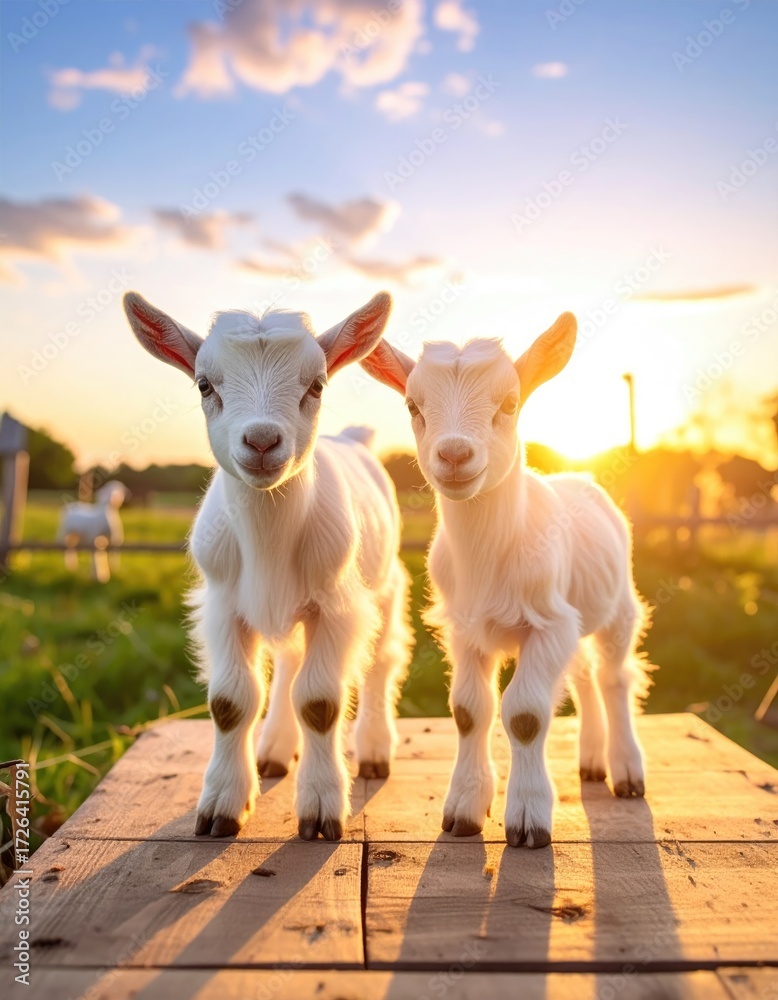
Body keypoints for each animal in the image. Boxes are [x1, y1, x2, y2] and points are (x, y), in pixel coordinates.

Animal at [123, 290, 413, 840]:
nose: (261, 441)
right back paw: (275, 751)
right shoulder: (221, 605)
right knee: (289, 664)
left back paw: (373, 750)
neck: (269, 541)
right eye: (204, 384)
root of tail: (354, 438)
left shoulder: (336, 605)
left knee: (380, 660)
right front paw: (222, 806)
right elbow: (230, 702)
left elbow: (320, 703)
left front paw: (320, 809)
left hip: (385, 584)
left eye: (316, 384)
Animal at [360, 313, 651, 848]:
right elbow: (469, 710)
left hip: (618, 608)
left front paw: (529, 819)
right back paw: (591, 764)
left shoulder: (549, 623)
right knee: (583, 677)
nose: (455, 454)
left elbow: (525, 713)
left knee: (614, 676)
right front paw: (463, 810)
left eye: (510, 403)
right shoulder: (465, 628)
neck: (488, 558)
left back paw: (626, 771)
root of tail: (580, 477)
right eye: (413, 405)